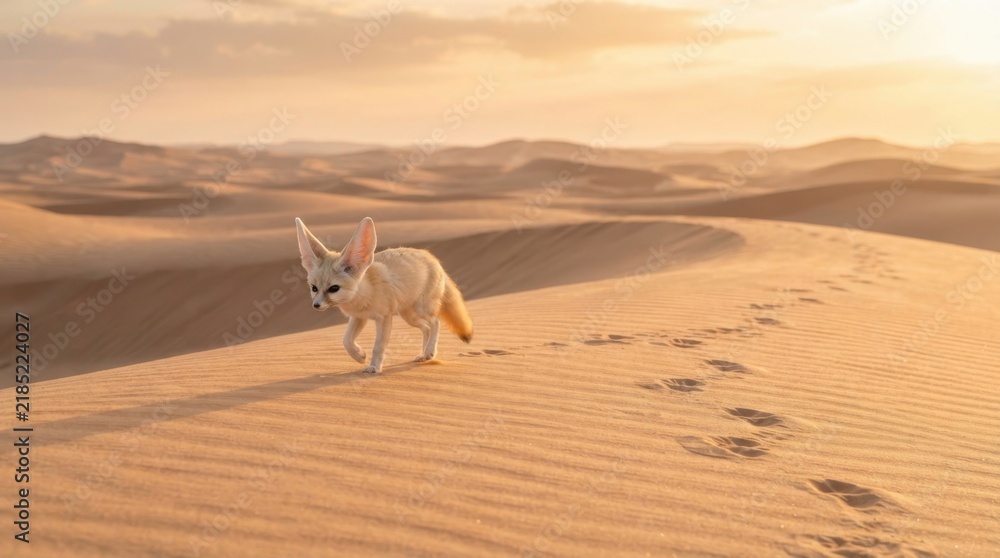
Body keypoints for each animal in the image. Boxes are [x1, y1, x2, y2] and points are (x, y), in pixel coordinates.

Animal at [295, 216, 473, 373]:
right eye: (314, 288)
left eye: (333, 288)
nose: (316, 305)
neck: (365, 291)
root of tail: (433, 258)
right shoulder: (359, 317)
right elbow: (346, 340)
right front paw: (359, 356)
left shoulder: (384, 317)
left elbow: (378, 347)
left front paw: (374, 367)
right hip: (410, 316)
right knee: (427, 328)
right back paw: (425, 355)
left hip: (420, 311)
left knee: (435, 322)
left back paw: (429, 352)